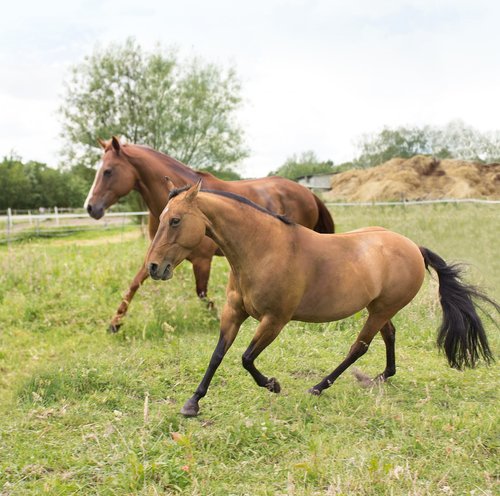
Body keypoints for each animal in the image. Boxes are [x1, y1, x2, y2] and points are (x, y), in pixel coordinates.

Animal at [84, 137, 334, 334]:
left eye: (108, 171)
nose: (90, 207)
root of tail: (308, 192)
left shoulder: (201, 260)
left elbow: (202, 294)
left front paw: (215, 317)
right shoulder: (159, 256)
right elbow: (134, 284)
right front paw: (114, 323)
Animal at [145, 180, 496, 416]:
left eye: (175, 220)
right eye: (160, 219)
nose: (153, 267)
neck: (262, 249)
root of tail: (413, 247)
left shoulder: (275, 320)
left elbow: (246, 358)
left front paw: (273, 385)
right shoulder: (234, 312)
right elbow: (218, 354)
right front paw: (192, 403)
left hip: (380, 310)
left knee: (359, 347)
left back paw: (319, 386)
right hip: (379, 308)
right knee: (389, 336)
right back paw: (381, 378)